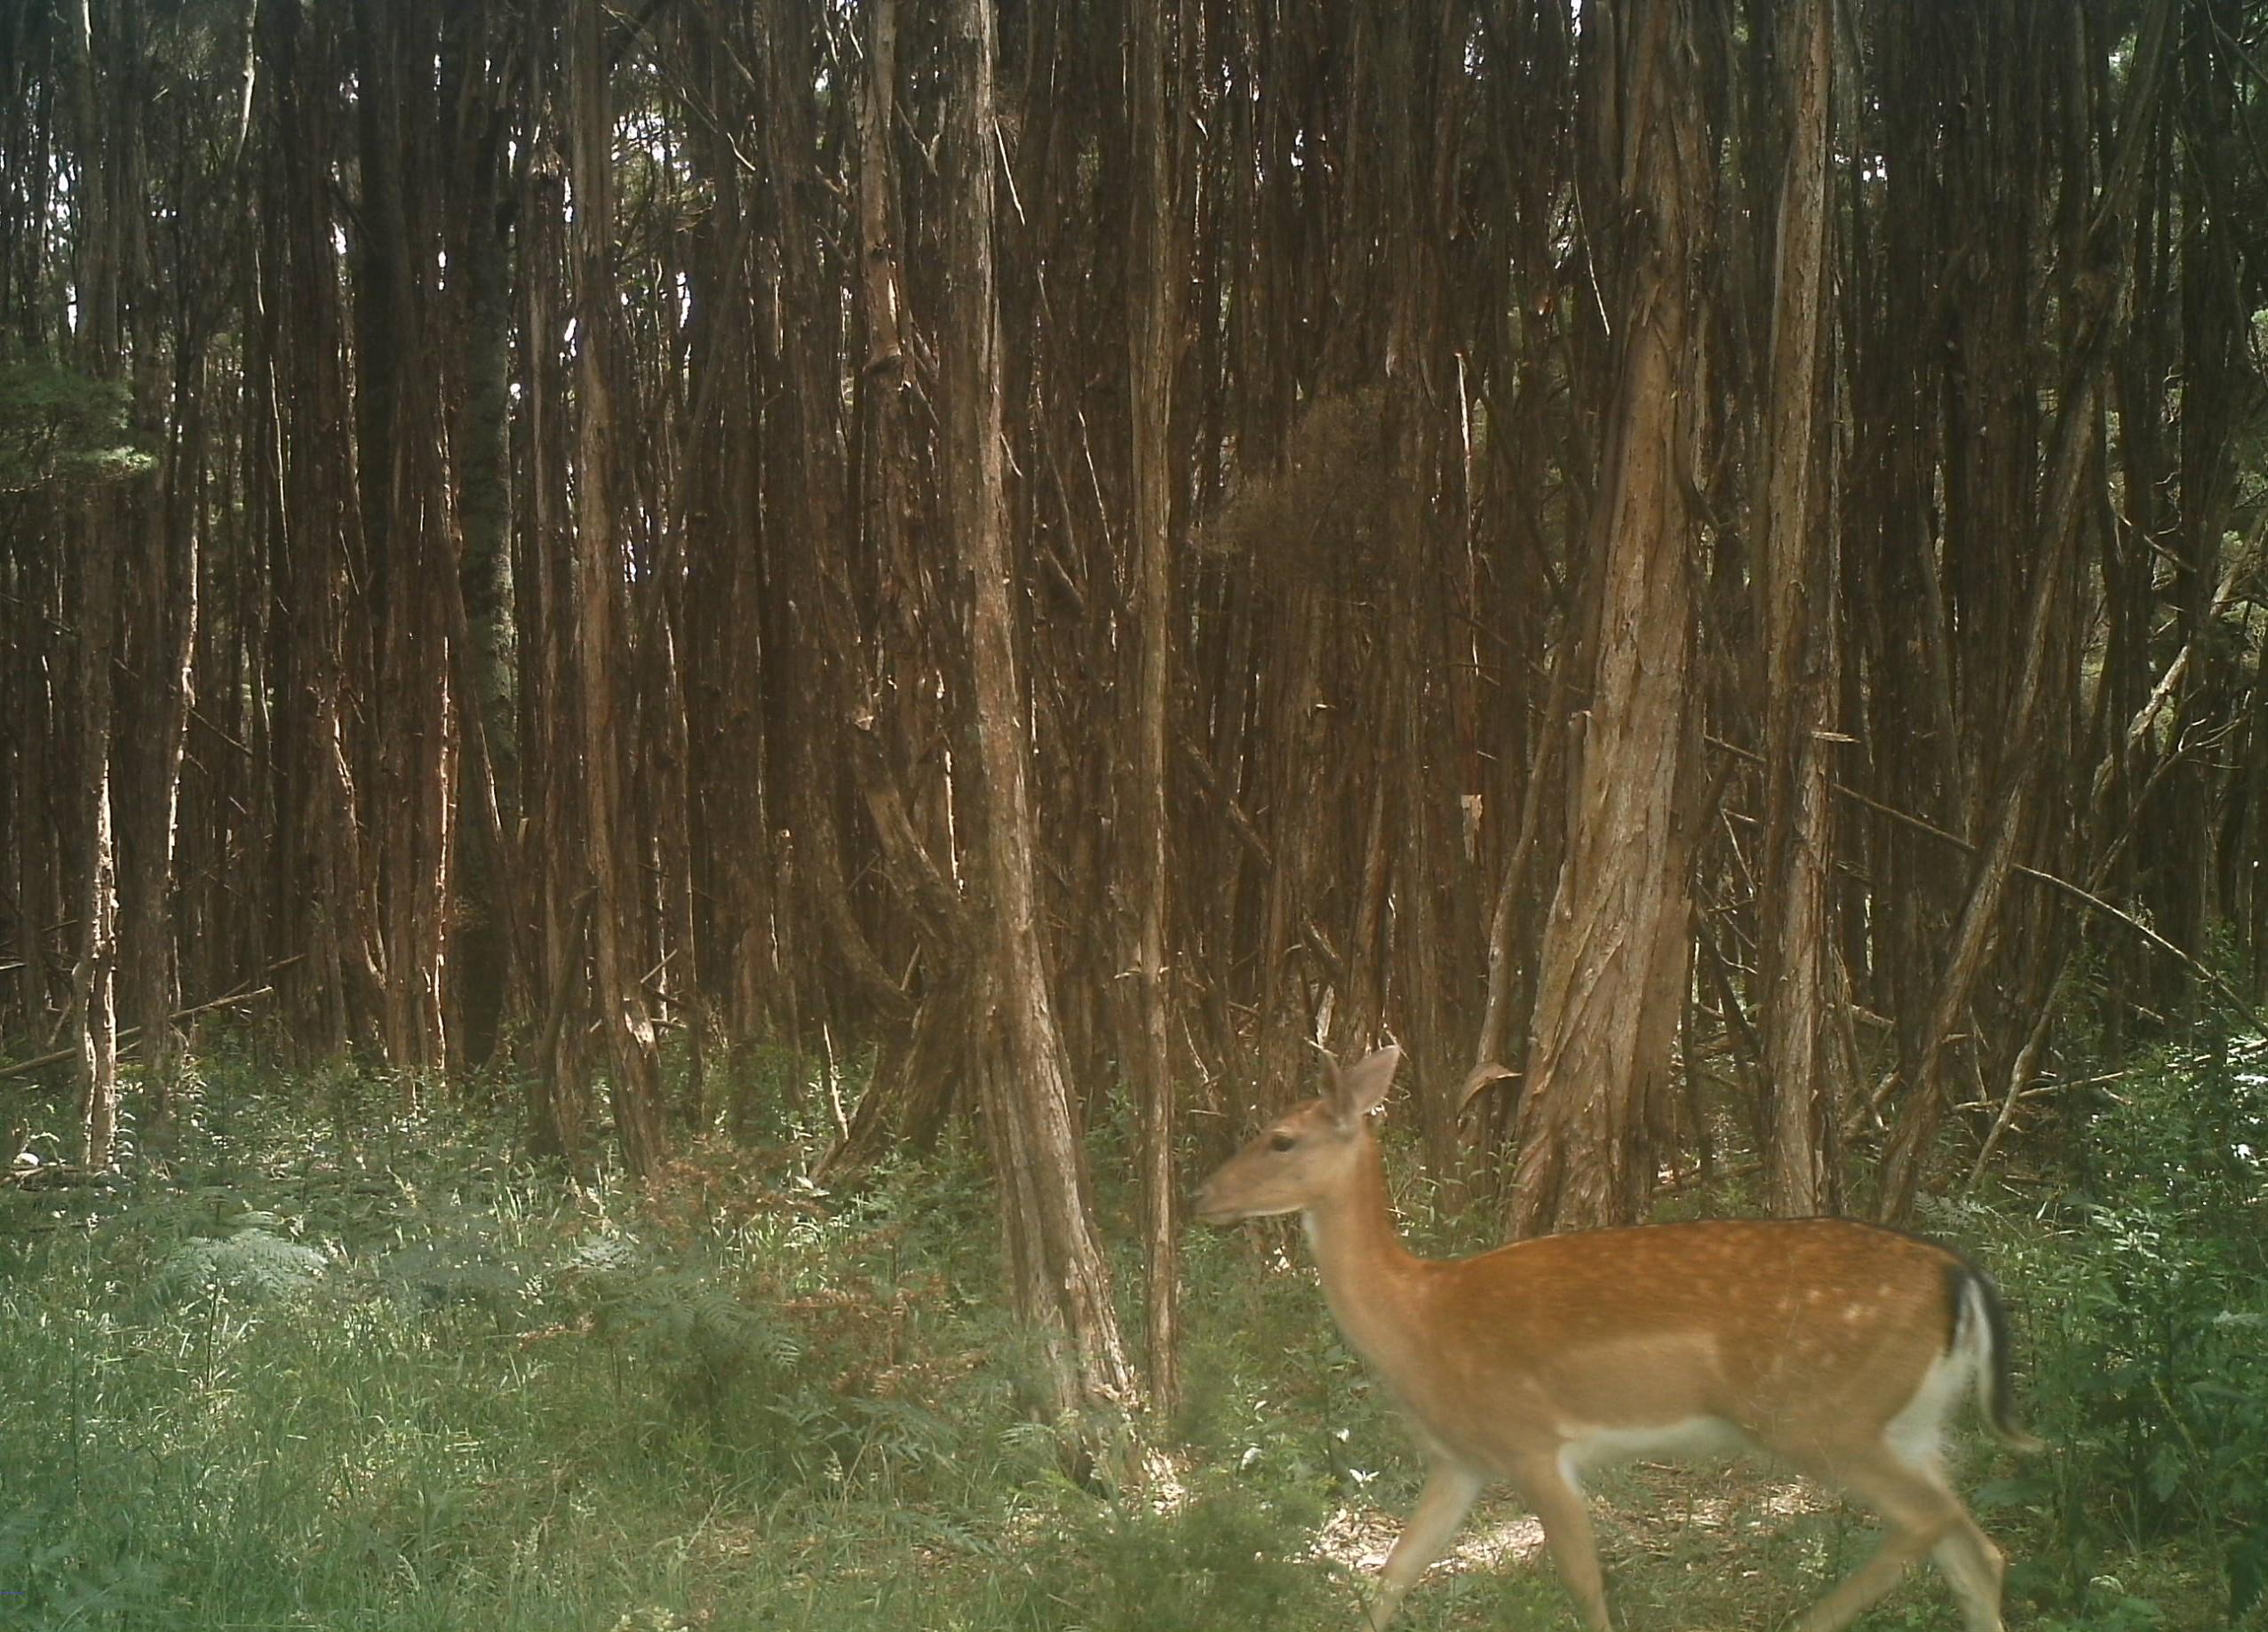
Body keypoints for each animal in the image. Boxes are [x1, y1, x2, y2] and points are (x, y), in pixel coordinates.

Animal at [1197, 1047, 2049, 1632]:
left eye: (1279, 1138)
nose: (1204, 1194)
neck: (1418, 1319)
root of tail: (1957, 1274)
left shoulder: (1531, 1441)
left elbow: (1583, 1581)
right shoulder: (1462, 1458)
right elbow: (1393, 1573)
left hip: (1818, 1412)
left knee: (1927, 1523)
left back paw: (1807, 1619)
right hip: (1905, 1421)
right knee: (1975, 1548)